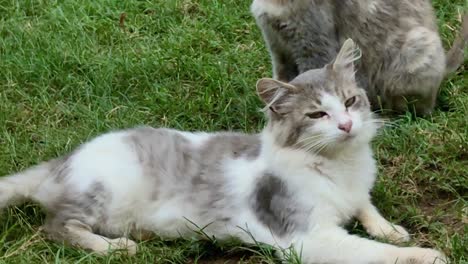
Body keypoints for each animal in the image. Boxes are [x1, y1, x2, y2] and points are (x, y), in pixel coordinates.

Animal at [0, 39, 446, 264]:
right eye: (317, 114)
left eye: (351, 101)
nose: (347, 125)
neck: (341, 167)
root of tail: (64, 160)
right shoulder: (307, 237)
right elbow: (375, 252)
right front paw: (426, 255)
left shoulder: (354, 196)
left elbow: (368, 210)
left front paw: (390, 228)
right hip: (101, 195)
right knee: (58, 227)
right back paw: (116, 247)